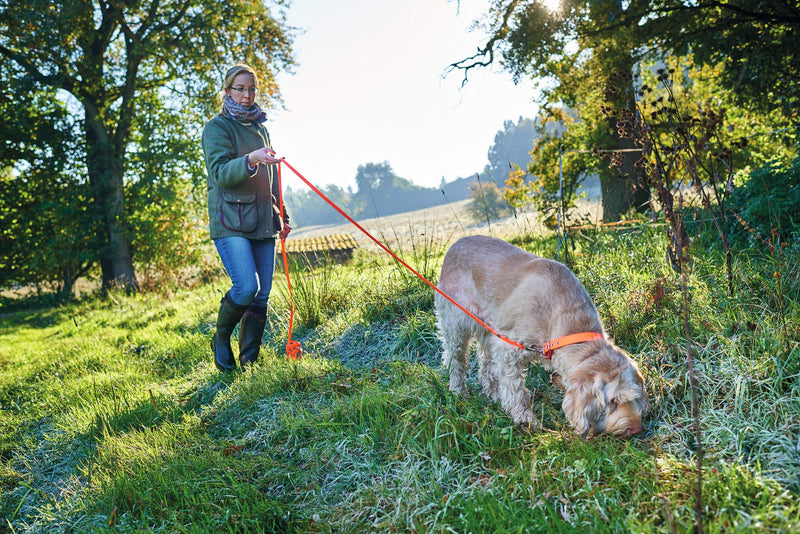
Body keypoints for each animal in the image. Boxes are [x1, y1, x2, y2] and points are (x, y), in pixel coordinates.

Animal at [434, 237, 648, 438]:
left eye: (635, 397)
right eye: (613, 401)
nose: (636, 429)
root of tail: (455, 244)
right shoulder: (508, 351)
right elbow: (517, 392)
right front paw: (525, 421)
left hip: (487, 330)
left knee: (486, 365)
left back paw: (493, 394)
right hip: (455, 326)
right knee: (457, 361)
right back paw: (458, 391)